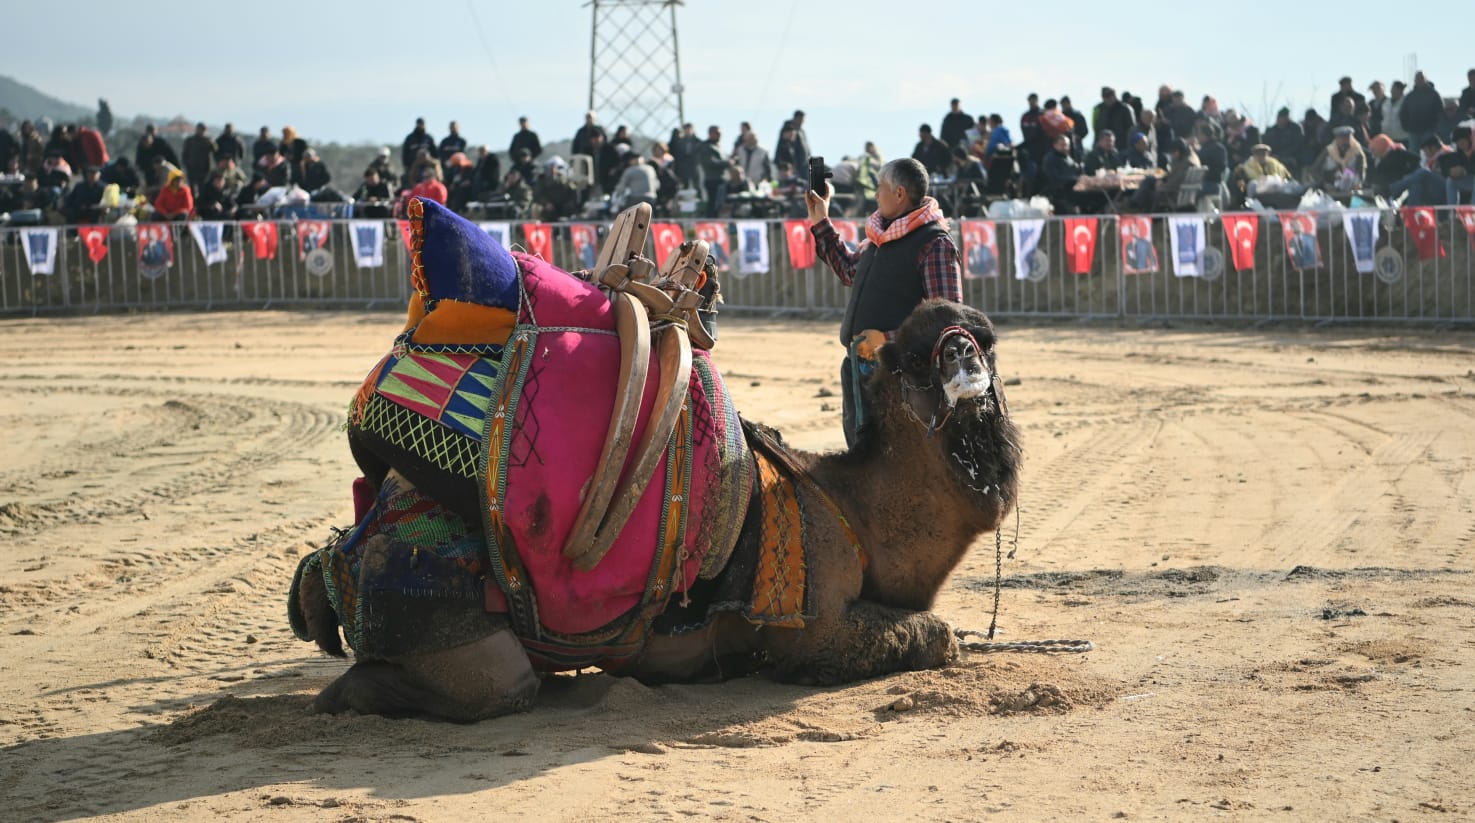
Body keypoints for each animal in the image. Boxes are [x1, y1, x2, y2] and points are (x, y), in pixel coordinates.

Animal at [293, 200, 1020, 722]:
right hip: (438, 605)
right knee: (488, 683)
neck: (853, 512)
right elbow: (938, 634)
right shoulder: (818, 622)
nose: (963, 354)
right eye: (911, 357)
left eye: (986, 336)